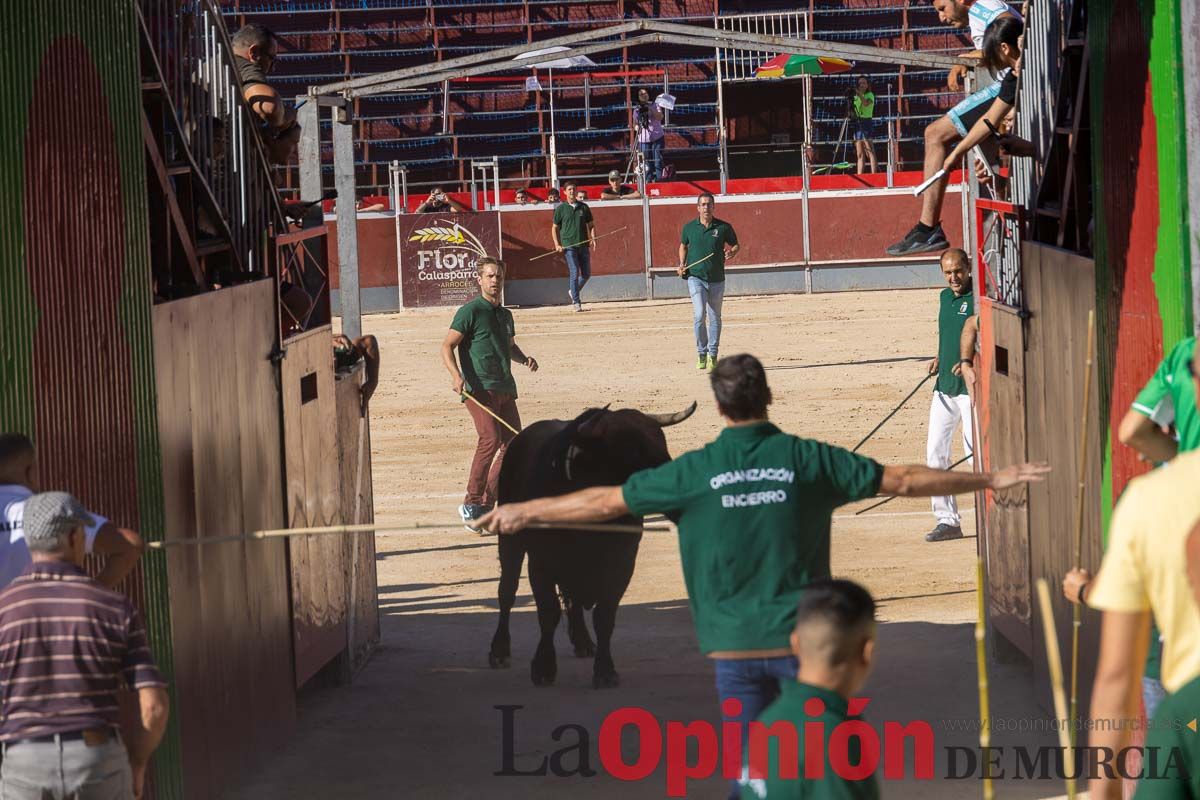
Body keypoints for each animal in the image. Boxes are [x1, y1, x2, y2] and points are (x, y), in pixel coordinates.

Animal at [484, 402, 696, 690]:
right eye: (631, 450)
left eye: (661, 443)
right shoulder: (541, 562)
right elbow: (548, 612)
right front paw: (543, 667)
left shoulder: (622, 563)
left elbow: (604, 616)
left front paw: (605, 670)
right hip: (511, 541)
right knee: (507, 591)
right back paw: (499, 651)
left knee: (572, 598)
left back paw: (583, 642)